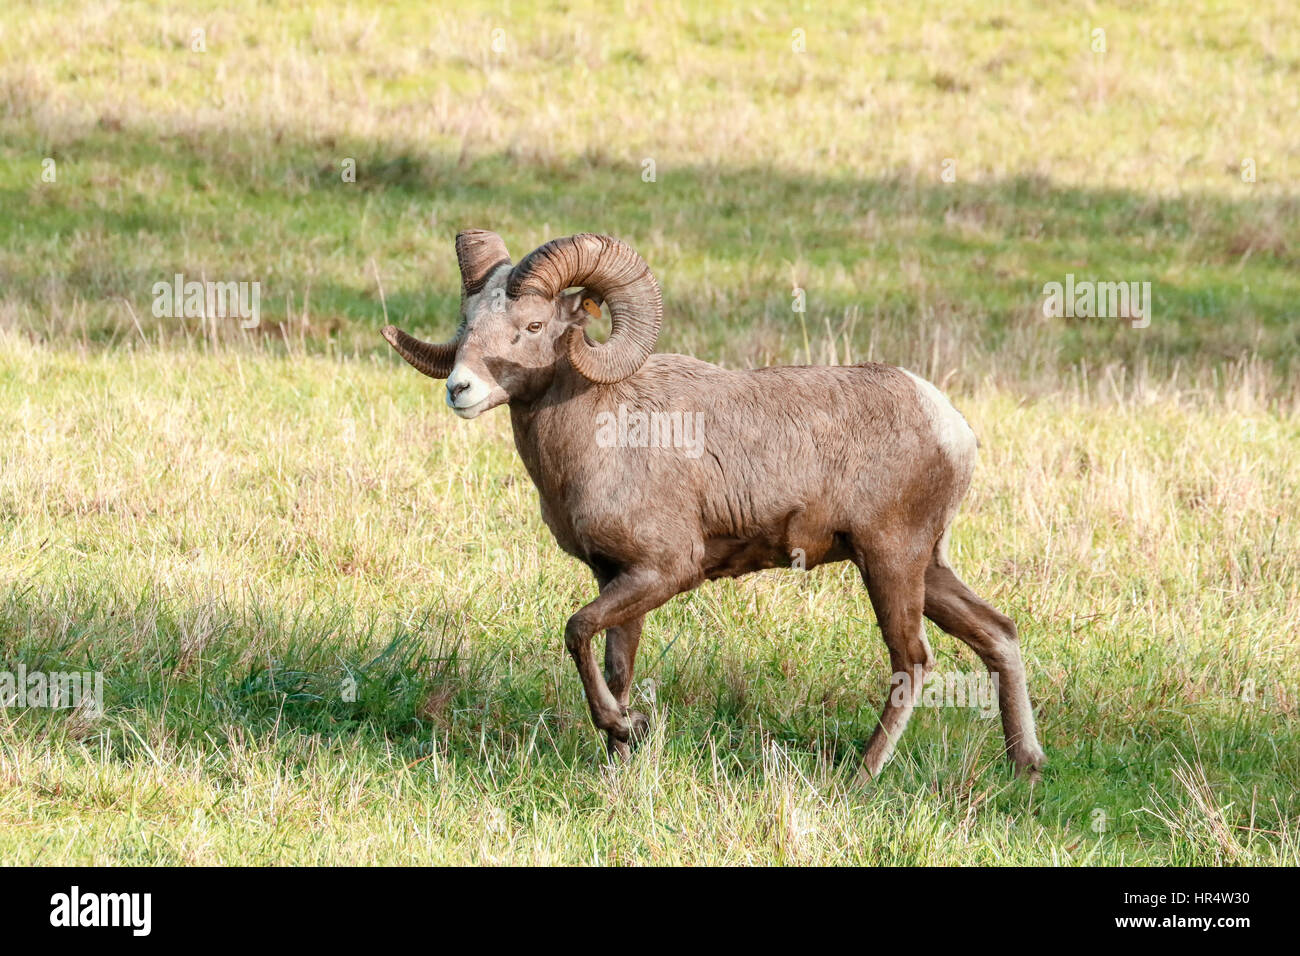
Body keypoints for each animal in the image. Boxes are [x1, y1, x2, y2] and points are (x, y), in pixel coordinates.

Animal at [382, 231, 1045, 780]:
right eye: (468, 322)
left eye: (534, 326)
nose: (459, 389)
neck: (603, 428)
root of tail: (951, 425)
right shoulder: (618, 578)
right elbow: (616, 666)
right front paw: (619, 763)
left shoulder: (666, 570)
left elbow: (576, 631)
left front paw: (625, 727)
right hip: (925, 566)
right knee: (998, 633)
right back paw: (1027, 766)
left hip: (890, 561)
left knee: (913, 660)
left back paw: (862, 774)